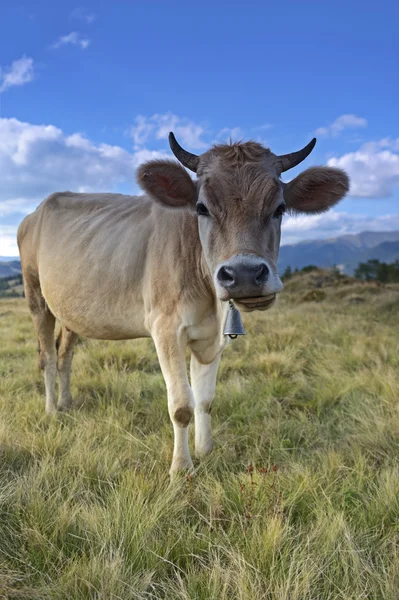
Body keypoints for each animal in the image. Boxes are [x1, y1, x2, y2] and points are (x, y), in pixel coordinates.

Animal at [18, 134, 350, 476]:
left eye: (280, 208)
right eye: (202, 208)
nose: (244, 275)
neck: (209, 298)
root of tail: (36, 211)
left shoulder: (213, 337)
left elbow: (205, 400)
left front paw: (206, 451)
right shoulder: (166, 328)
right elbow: (181, 405)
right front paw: (181, 470)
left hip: (71, 310)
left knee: (64, 354)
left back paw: (66, 404)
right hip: (36, 296)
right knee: (46, 356)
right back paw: (51, 411)